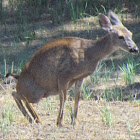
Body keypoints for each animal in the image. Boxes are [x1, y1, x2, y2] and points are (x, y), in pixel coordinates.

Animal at [6, 10, 138, 126]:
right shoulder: (64, 74)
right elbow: (63, 98)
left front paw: (75, 122)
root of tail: (18, 77)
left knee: (17, 95)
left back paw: (34, 119)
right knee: (16, 94)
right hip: (36, 93)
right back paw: (35, 118)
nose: (135, 49)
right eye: (120, 36)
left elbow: (76, 98)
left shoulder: (80, 77)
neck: (89, 54)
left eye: (130, 34)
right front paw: (60, 122)